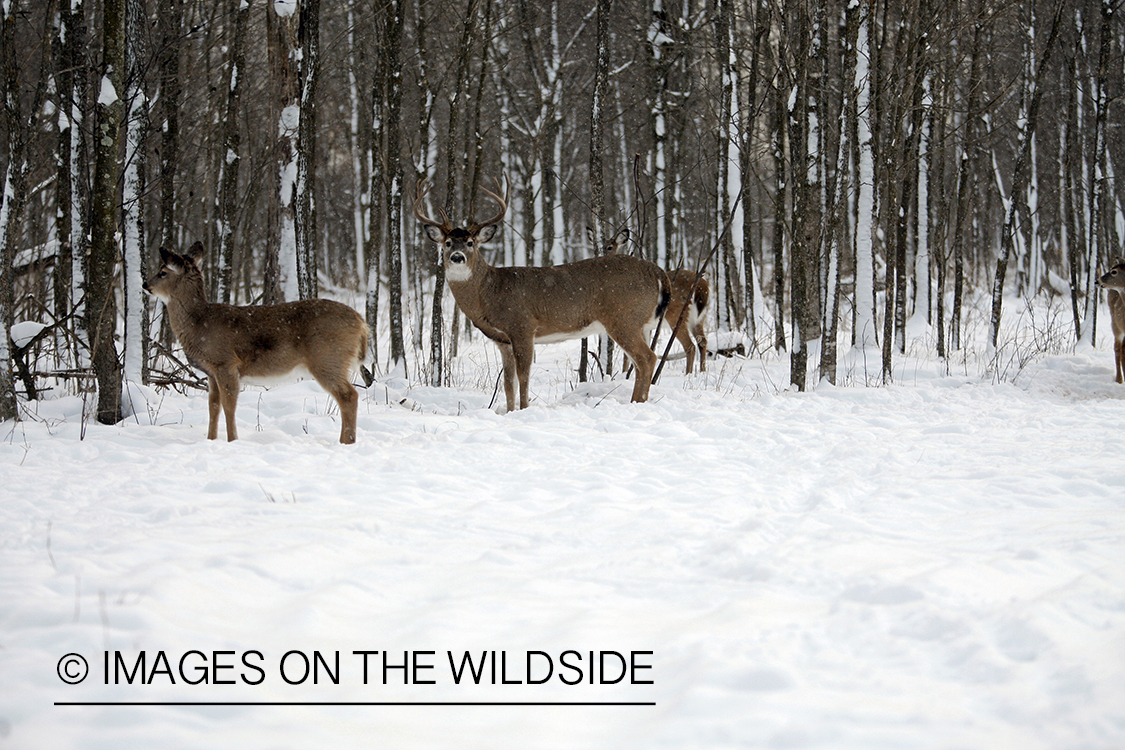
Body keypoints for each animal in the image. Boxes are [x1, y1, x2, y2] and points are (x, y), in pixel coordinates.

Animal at [145, 244, 369, 443]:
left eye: (163, 272)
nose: (145, 285)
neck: (199, 323)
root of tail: (361, 323)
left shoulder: (225, 362)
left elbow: (229, 405)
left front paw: (232, 440)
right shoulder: (211, 371)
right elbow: (213, 406)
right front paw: (211, 440)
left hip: (328, 358)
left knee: (349, 395)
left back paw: (346, 441)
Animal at [418, 177, 670, 411]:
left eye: (470, 242)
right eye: (447, 243)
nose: (457, 257)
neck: (489, 292)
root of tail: (657, 271)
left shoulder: (523, 326)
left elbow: (523, 376)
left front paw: (524, 409)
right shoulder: (502, 340)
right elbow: (508, 382)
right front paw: (510, 411)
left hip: (623, 318)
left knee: (647, 358)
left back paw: (636, 403)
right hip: (641, 323)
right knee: (643, 361)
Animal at [603, 226, 706, 373]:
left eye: (609, 247)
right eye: (602, 246)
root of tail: (702, 286)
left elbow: (628, 354)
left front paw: (624, 373)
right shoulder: (645, 327)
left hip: (677, 316)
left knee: (690, 346)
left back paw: (689, 374)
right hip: (698, 319)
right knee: (702, 342)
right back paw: (702, 371)